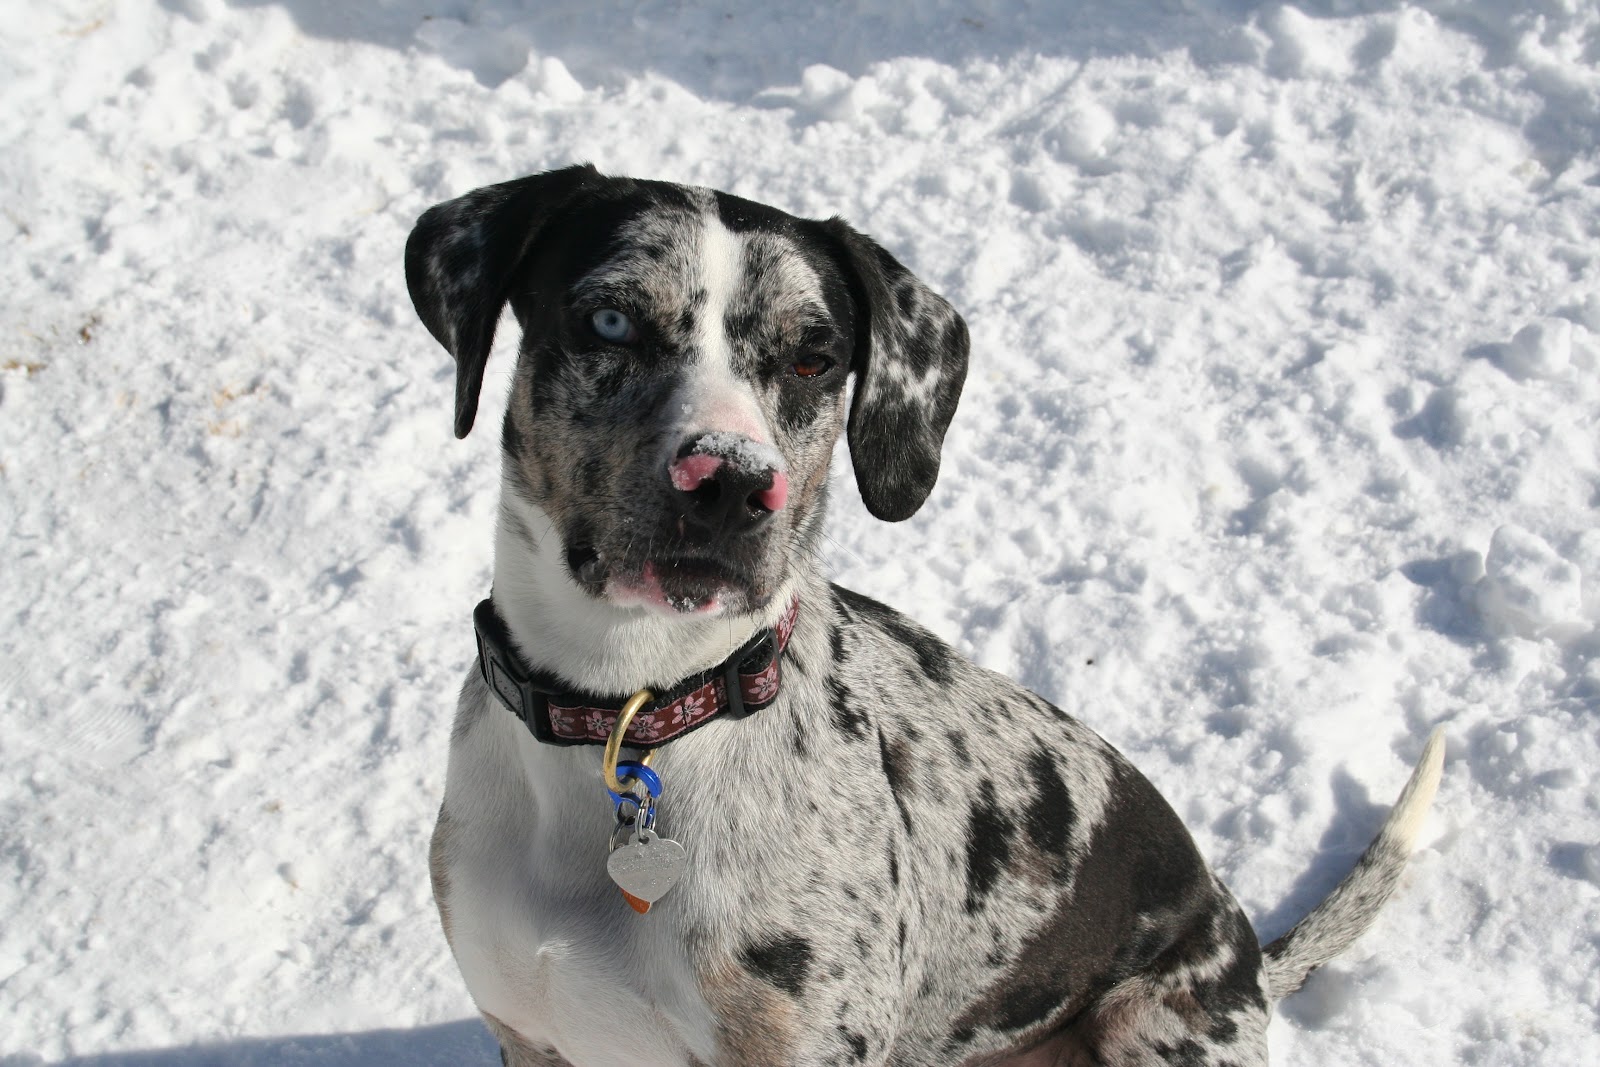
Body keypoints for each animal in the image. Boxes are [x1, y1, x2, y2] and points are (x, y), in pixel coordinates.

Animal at [406, 167, 1446, 1067]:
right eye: (611, 319)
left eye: (815, 355)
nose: (732, 483)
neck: (628, 713)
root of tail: (1251, 960)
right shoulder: (531, 1035)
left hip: (1152, 1023)